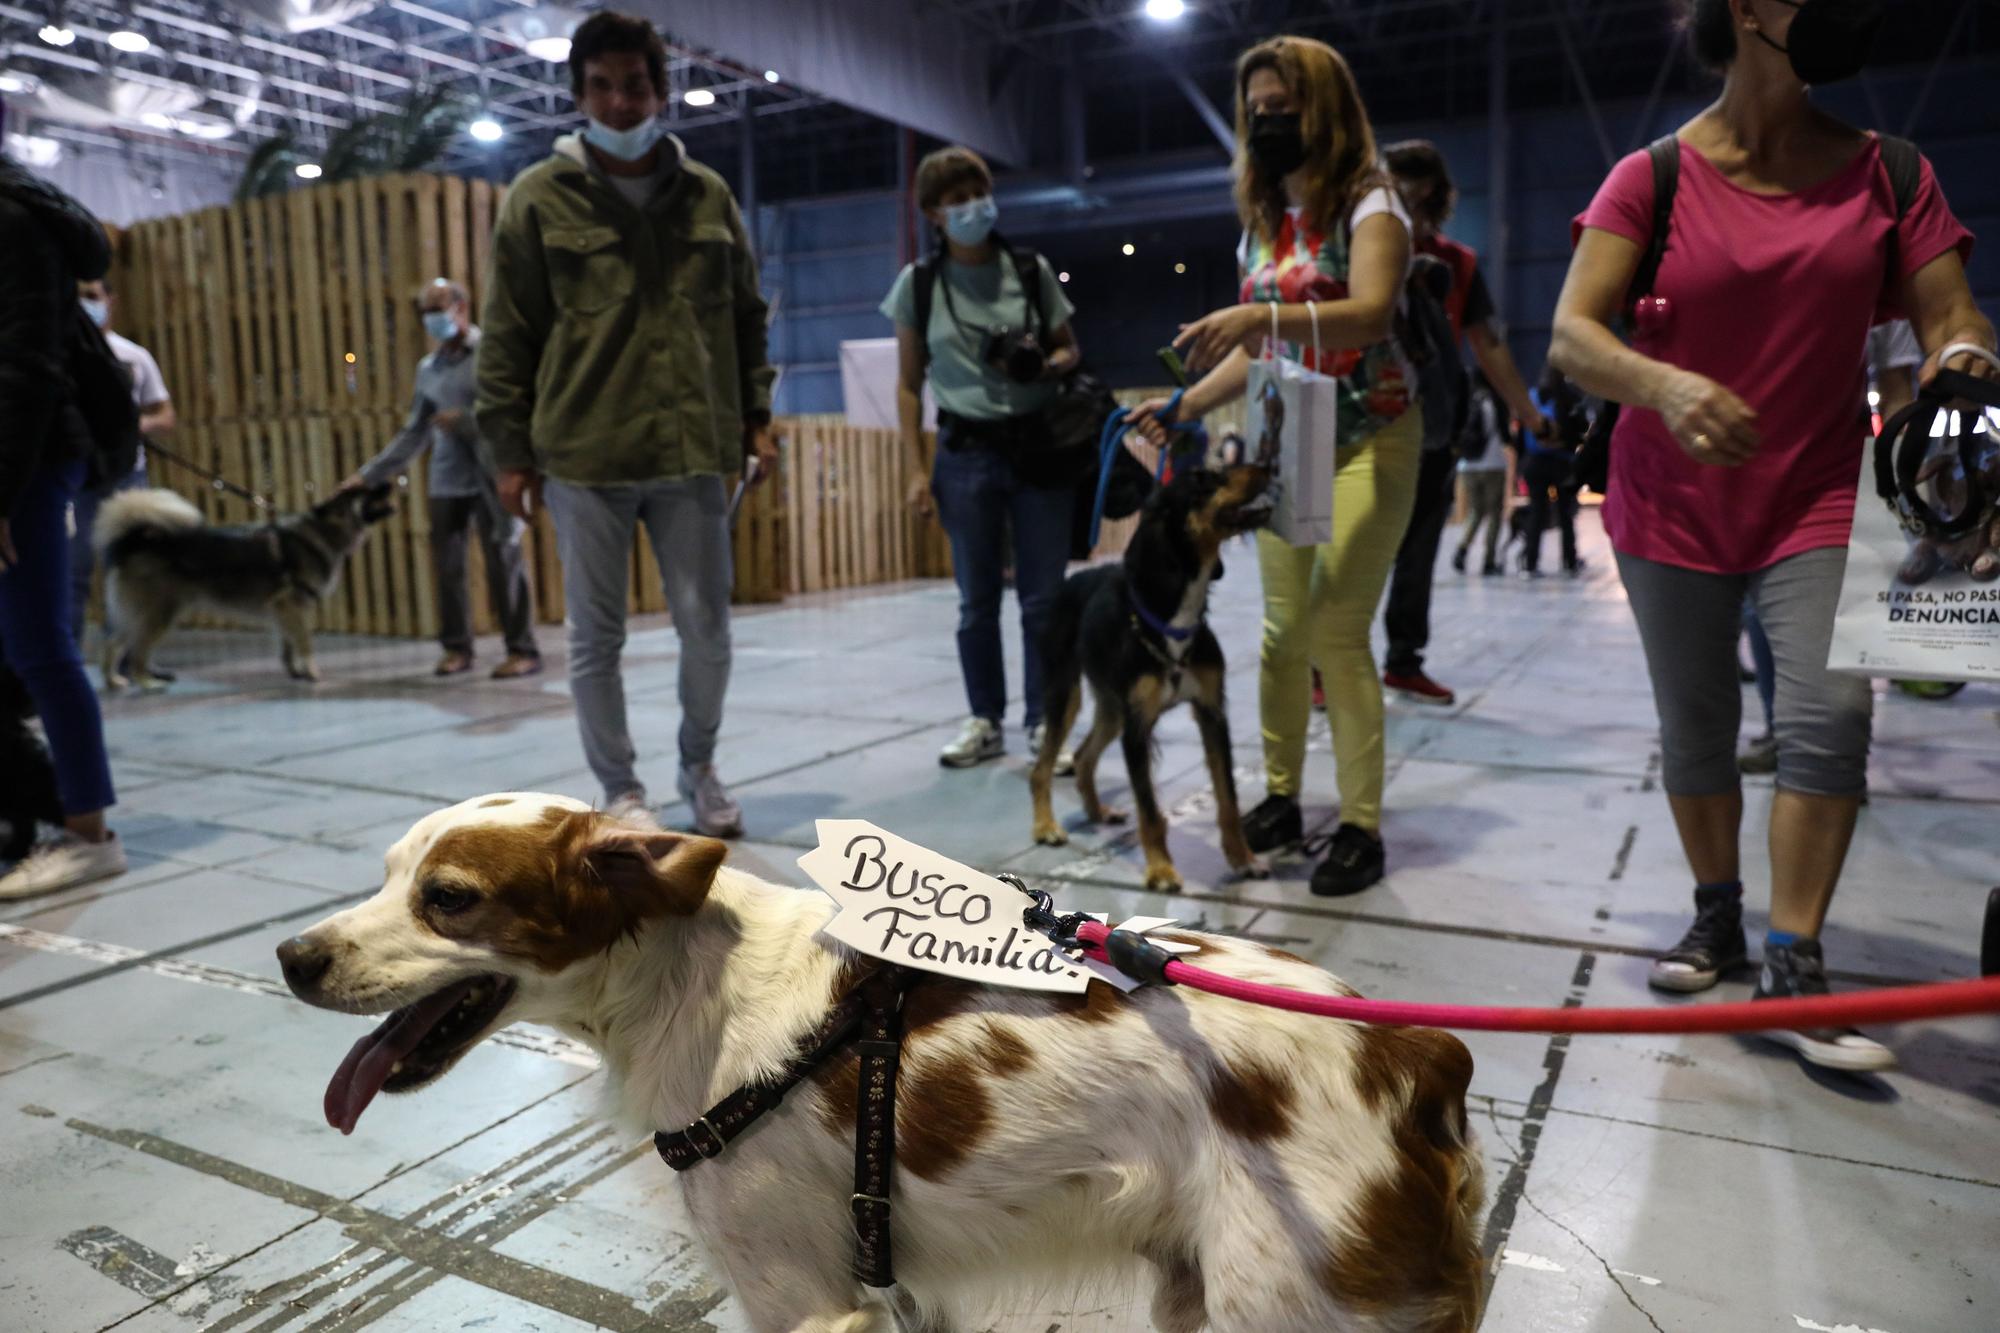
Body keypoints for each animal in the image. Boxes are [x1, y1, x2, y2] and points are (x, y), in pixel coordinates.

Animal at [93, 482, 398, 684]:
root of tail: (134, 541)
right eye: (368, 491)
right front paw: (311, 673)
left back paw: (113, 682)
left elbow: (288, 645)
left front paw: (295, 672)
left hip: (139, 614)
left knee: (113, 643)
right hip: (159, 614)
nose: (391, 482)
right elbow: (304, 642)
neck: (324, 530)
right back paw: (147, 683)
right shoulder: (292, 605)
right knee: (136, 654)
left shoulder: (284, 610)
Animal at [274, 792, 1488, 1320]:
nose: (291, 955)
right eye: (388, 875)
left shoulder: (803, 1301)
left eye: (449, 898)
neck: (687, 982)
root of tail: (1420, 1048)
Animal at [1040, 462, 1272, 888]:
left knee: (1081, 756)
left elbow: (1228, 799)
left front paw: (1242, 858)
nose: (1266, 465)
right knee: (1042, 767)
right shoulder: (1137, 728)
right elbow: (1149, 810)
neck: (1173, 617)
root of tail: (1074, 577)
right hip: (1066, 693)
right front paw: (1161, 869)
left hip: (1112, 707)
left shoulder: (1212, 714)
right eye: (1203, 480)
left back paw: (1097, 811)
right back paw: (1045, 826)